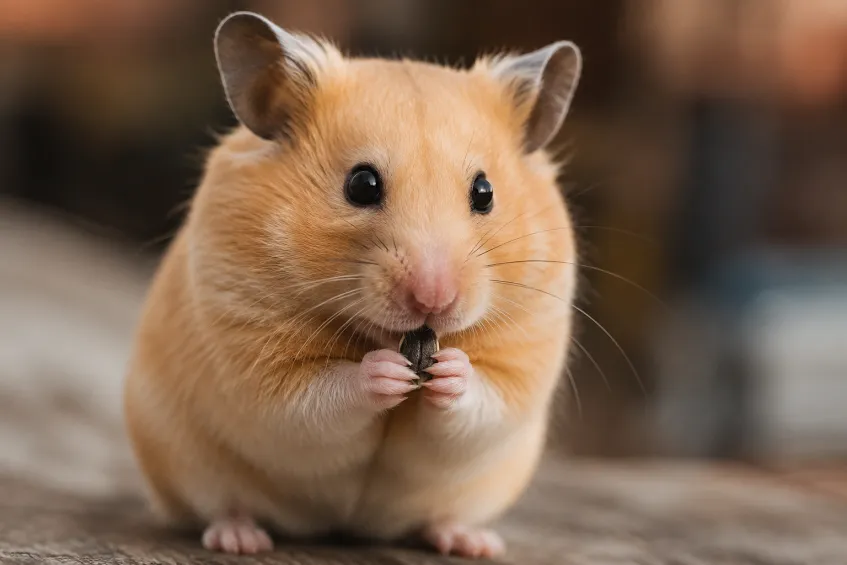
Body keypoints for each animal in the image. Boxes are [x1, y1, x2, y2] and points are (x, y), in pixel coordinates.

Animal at [123, 10, 581, 559]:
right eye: (361, 184)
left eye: (485, 192)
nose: (434, 299)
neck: (388, 336)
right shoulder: (257, 361)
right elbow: (320, 395)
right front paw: (386, 372)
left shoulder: (524, 358)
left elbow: (481, 400)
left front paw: (449, 368)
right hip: (181, 463)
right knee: (221, 507)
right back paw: (240, 538)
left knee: (441, 517)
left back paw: (472, 542)